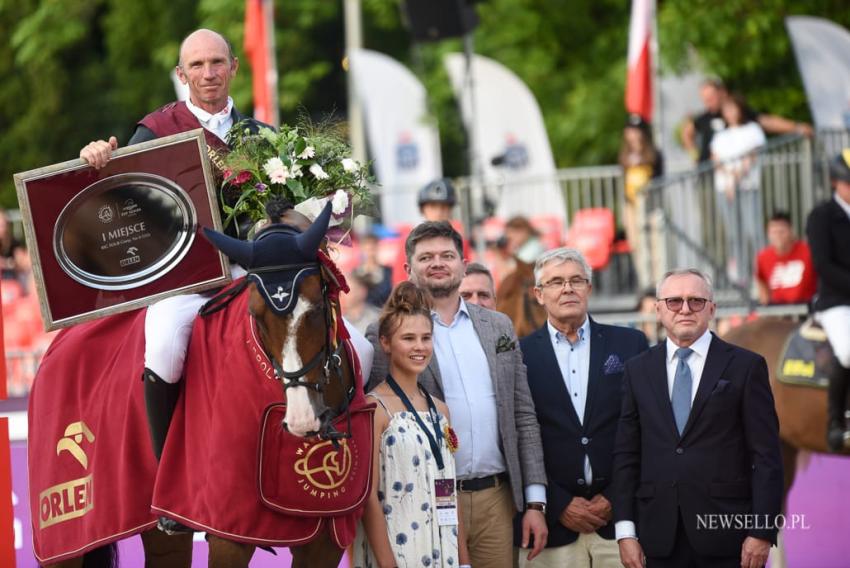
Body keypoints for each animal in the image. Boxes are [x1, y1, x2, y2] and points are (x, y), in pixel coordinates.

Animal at [34, 204, 360, 568]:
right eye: (256, 315)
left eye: (317, 309)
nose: (303, 420)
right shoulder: (228, 533)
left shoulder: (326, 540)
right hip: (63, 541)